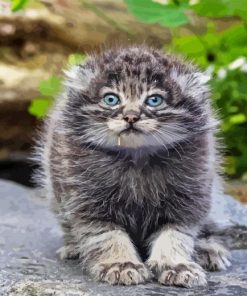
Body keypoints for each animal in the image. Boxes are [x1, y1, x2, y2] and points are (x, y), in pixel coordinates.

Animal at [36, 45, 230, 286]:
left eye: (154, 100)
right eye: (111, 99)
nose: (130, 117)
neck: (136, 159)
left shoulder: (190, 195)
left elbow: (176, 235)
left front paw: (177, 265)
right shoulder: (87, 200)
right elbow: (107, 236)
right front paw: (120, 264)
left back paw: (208, 250)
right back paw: (73, 247)